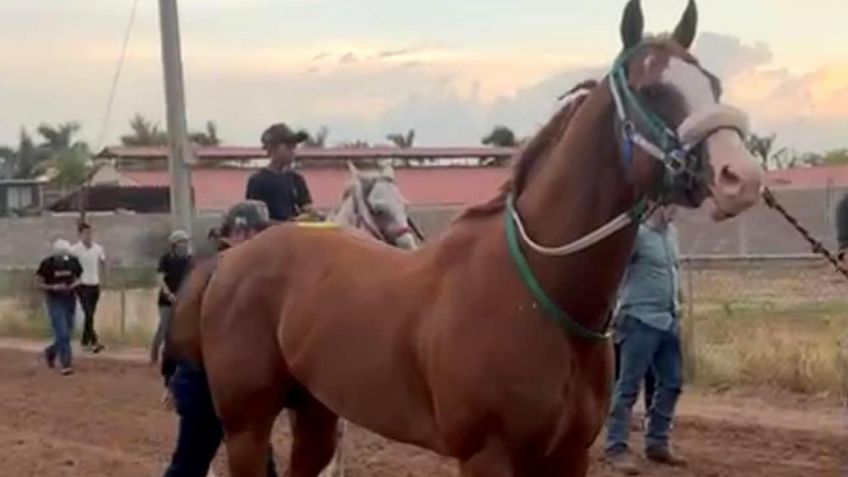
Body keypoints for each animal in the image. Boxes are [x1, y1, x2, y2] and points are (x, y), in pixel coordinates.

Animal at [179, 1, 760, 474]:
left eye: (713, 85)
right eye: (651, 89)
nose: (742, 176)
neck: (538, 292)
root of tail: (232, 260)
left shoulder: (568, 456)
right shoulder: (487, 455)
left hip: (316, 411)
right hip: (246, 425)